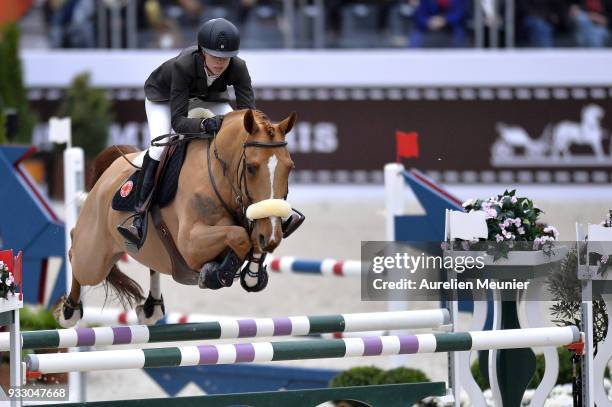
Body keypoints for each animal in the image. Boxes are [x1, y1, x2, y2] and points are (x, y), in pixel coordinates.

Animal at [53, 110, 298, 330]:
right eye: (251, 167)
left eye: (290, 167)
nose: (272, 235)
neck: (219, 178)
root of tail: (110, 173)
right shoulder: (191, 244)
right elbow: (238, 236)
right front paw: (217, 273)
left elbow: (250, 238)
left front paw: (252, 275)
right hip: (93, 259)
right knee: (76, 251)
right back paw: (68, 311)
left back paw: (151, 307)